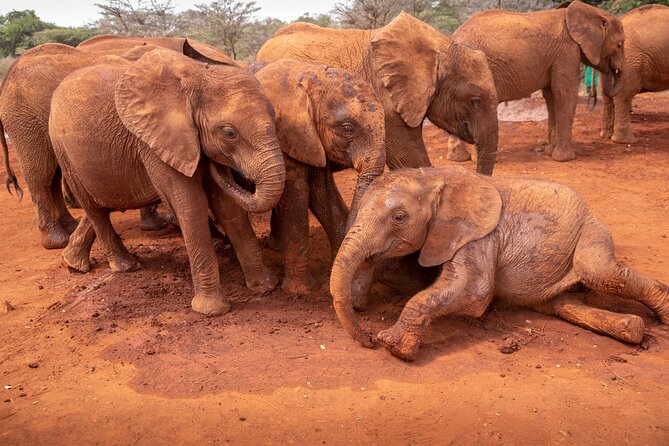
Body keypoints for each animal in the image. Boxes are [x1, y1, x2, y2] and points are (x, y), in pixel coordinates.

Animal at [0, 39, 235, 249]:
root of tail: (8, 76)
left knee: (54, 176)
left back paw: (70, 227)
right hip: (25, 119)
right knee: (41, 173)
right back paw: (57, 241)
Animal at [48, 48, 285, 315]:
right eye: (229, 133)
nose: (221, 167)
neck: (199, 77)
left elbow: (228, 207)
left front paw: (264, 288)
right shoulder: (154, 142)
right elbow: (190, 207)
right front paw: (211, 310)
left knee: (102, 204)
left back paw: (73, 264)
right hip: (63, 149)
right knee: (95, 209)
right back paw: (125, 266)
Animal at [251, 59, 385, 294]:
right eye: (347, 128)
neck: (308, 74)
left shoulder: (312, 140)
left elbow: (322, 193)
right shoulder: (283, 135)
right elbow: (297, 197)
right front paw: (300, 291)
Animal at [330, 166, 669, 361]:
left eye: (399, 217)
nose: (368, 339)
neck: (437, 177)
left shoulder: (481, 234)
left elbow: (475, 293)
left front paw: (393, 347)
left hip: (591, 232)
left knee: (600, 273)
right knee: (562, 303)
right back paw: (632, 328)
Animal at [447, 0, 625, 162]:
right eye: (619, 44)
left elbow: (551, 96)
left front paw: (549, 152)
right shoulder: (567, 51)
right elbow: (565, 94)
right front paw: (565, 159)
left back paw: (458, 159)